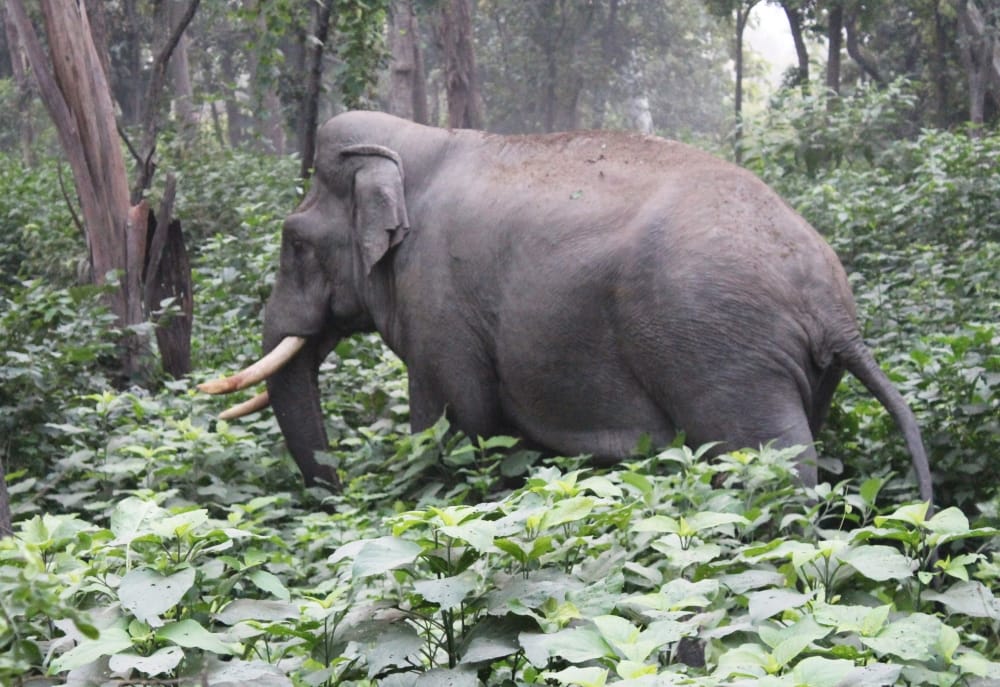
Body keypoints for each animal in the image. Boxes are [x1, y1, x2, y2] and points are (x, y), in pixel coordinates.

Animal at [201, 110, 933, 504]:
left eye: (294, 242)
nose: (344, 492)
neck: (420, 143)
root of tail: (832, 306)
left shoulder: (437, 300)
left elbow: (456, 421)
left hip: (724, 352)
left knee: (769, 462)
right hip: (803, 368)